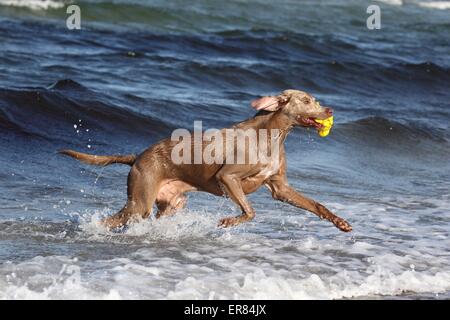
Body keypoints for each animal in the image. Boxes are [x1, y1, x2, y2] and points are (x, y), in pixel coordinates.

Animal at [59, 90, 354, 232]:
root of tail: (138, 156)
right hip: (139, 202)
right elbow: (250, 211)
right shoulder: (228, 177)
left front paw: (340, 222)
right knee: (113, 220)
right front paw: (229, 222)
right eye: (306, 100)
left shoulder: (279, 187)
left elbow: (317, 205)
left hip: (172, 203)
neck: (273, 134)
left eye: (315, 99)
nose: (330, 109)